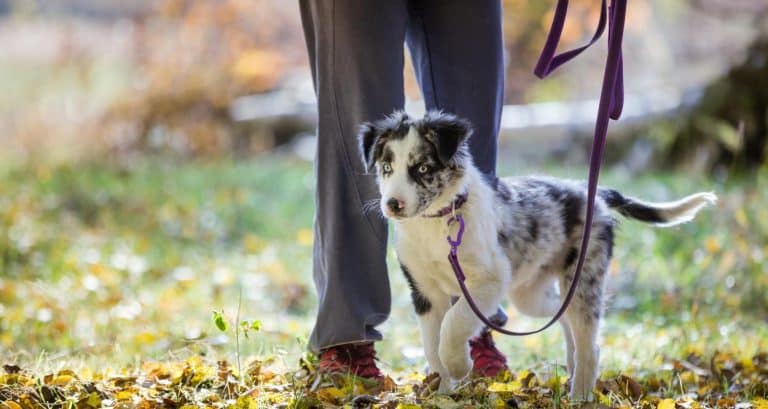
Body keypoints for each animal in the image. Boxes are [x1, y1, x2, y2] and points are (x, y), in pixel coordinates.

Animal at [356, 110, 716, 396]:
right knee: (564, 316)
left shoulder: (488, 280)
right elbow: (432, 344)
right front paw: (443, 391)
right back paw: (571, 365)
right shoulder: (425, 291)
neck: (438, 220)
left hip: (584, 279)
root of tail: (594, 193)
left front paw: (458, 366)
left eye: (422, 168)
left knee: (591, 343)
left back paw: (580, 395)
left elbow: (454, 325)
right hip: (529, 294)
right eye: (386, 167)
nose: (392, 205)